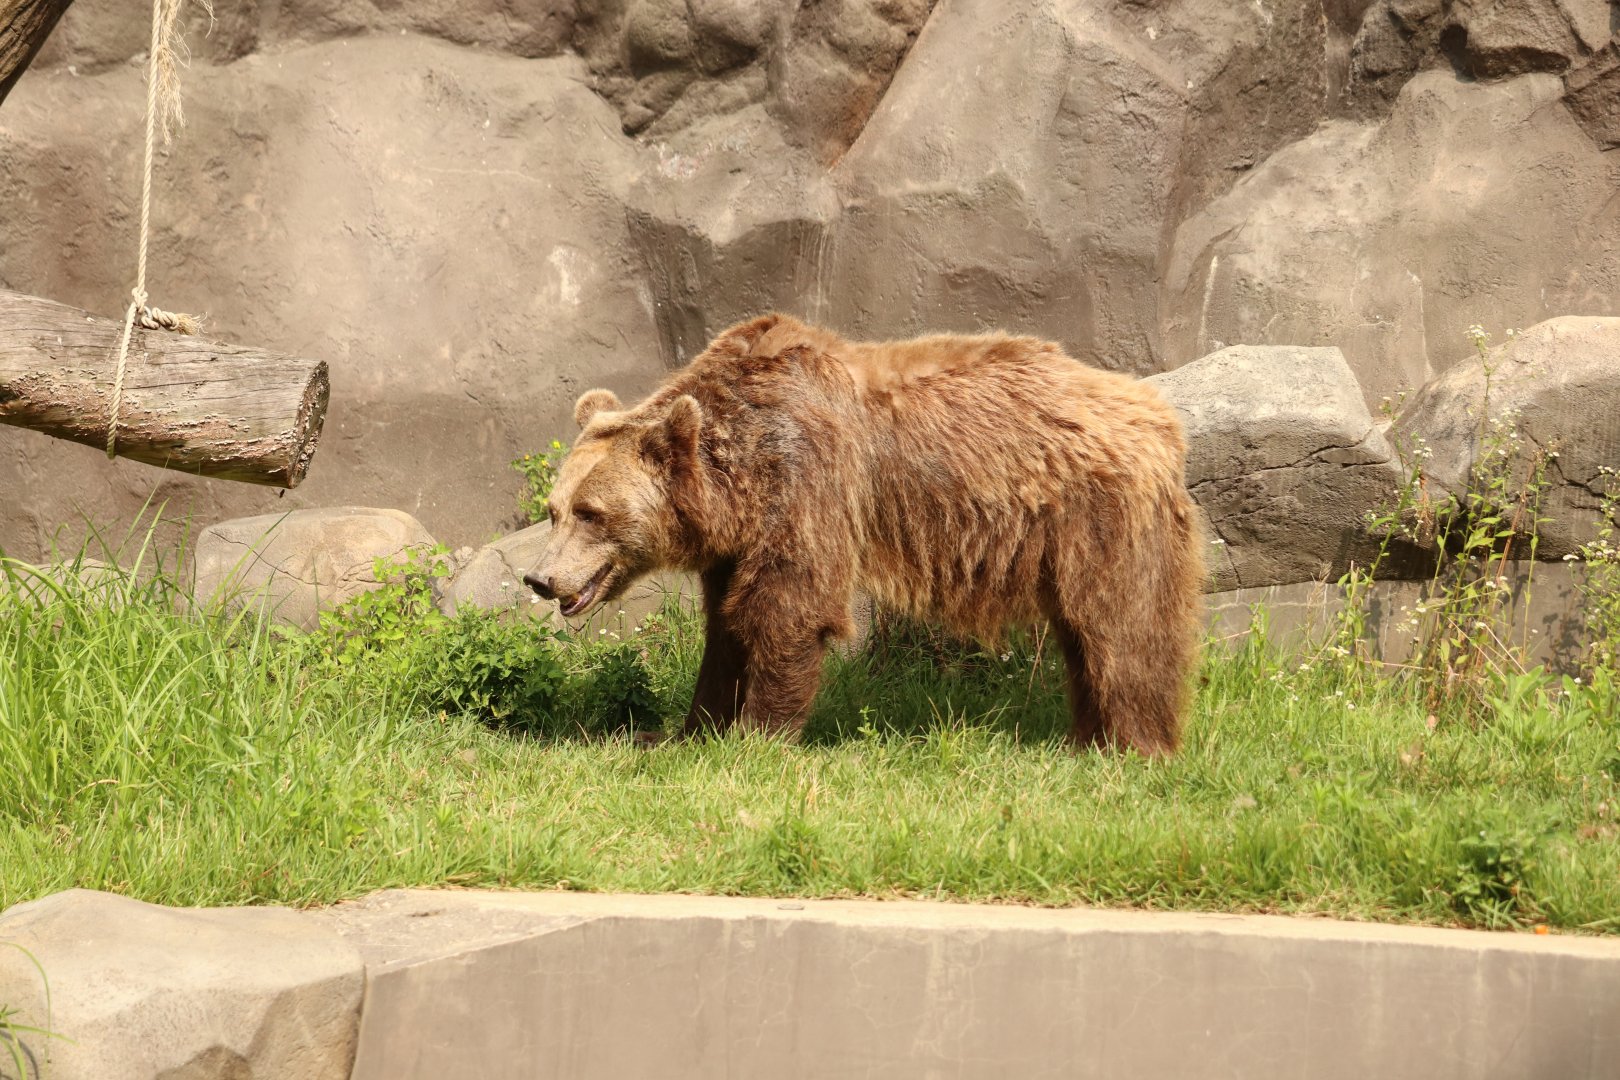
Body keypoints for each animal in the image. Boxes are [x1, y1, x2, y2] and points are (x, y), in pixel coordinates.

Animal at [523, 314, 1204, 755]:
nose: (539, 577)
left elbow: (789, 608)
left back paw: (1136, 746)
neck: (737, 471)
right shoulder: (737, 541)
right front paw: (682, 731)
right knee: (1083, 637)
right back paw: (1083, 739)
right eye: (555, 509)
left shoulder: (808, 481)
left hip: (1100, 515)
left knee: (1122, 626)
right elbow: (726, 628)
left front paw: (754, 738)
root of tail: (1161, 415)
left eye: (591, 512)